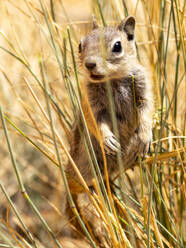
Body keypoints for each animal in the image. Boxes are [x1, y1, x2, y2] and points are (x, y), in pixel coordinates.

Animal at [66, 16, 153, 194]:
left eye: (117, 46)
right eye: (80, 45)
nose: (89, 64)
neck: (113, 79)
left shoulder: (143, 89)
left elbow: (146, 111)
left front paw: (145, 137)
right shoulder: (92, 103)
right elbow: (96, 121)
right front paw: (107, 140)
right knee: (79, 186)